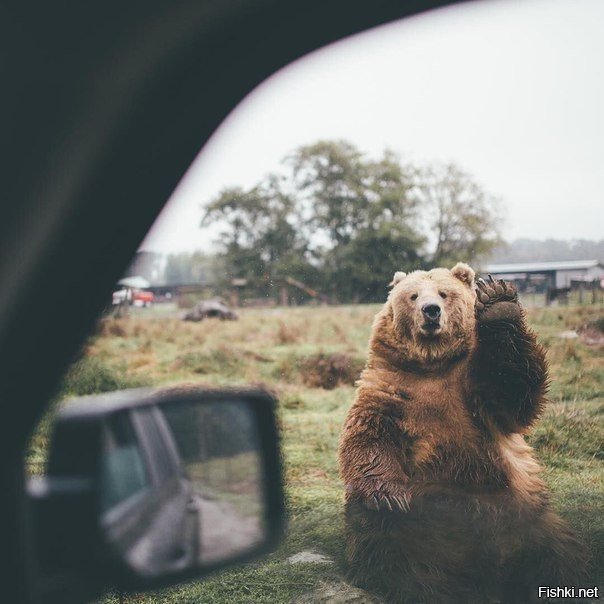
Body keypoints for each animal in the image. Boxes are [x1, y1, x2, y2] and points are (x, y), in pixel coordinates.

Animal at [338, 264, 588, 604]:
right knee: (386, 544)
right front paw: (389, 495)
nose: (431, 311)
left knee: (556, 555)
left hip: (528, 518)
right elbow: (370, 435)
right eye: (413, 295)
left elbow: (512, 391)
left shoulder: (474, 390)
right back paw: (415, 585)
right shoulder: (391, 389)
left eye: (444, 293)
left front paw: (499, 302)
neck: (432, 364)